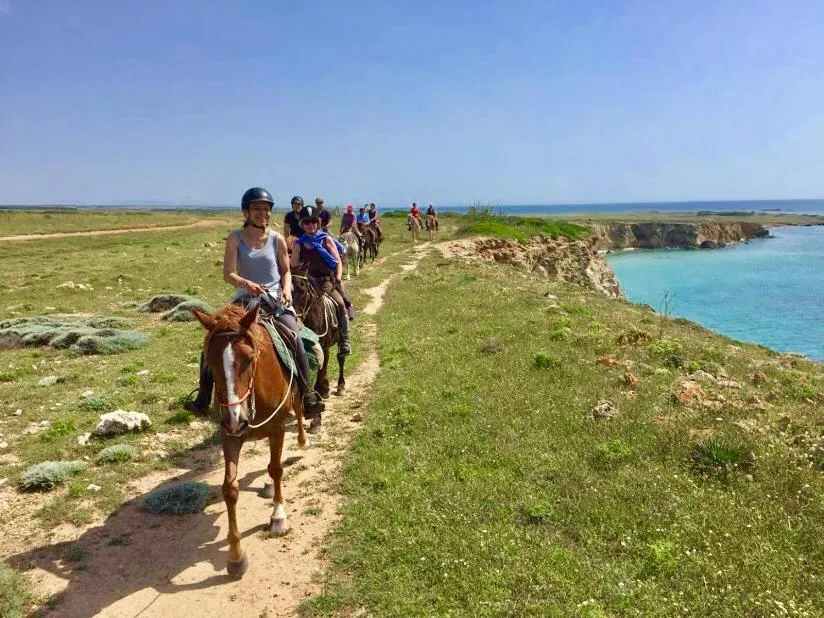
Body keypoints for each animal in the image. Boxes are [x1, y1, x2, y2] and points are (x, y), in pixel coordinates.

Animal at [192, 303, 308, 579]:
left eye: (249, 358)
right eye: (210, 361)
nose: (236, 417)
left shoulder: (277, 428)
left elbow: (276, 469)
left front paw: (278, 516)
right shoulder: (230, 436)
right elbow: (230, 489)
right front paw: (235, 556)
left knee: (299, 410)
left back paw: (302, 440)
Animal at [291, 271, 348, 402]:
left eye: (303, 289)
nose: (295, 318)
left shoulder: (324, 347)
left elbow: (323, 365)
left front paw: (323, 390)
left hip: (340, 341)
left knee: (341, 358)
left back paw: (341, 385)